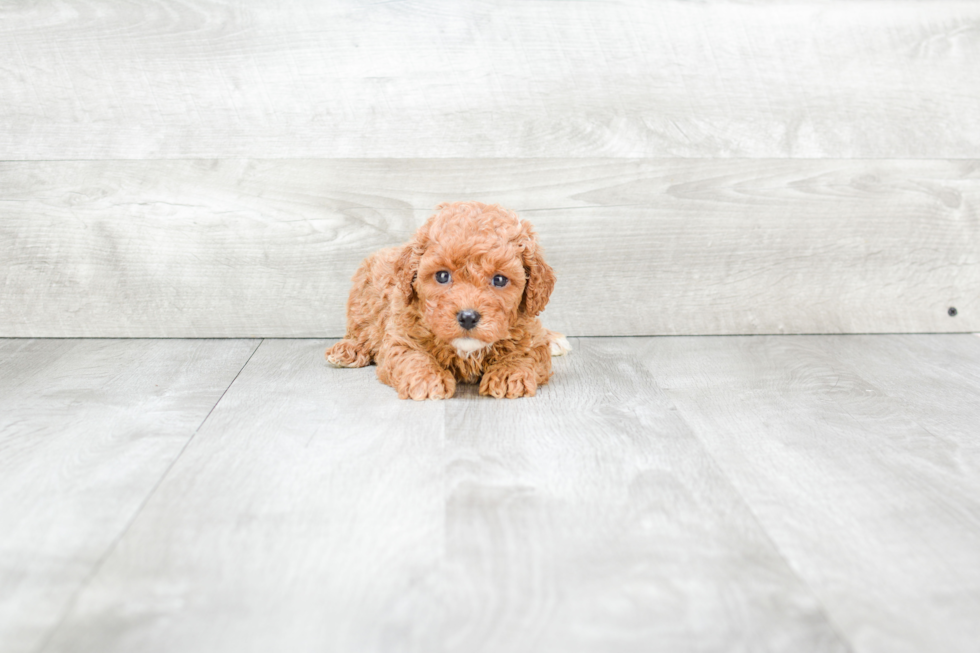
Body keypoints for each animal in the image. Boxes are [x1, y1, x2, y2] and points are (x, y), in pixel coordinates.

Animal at [326, 201, 572, 400]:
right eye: (442, 276)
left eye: (500, 279)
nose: (468, 317)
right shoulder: (400, 337)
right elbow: (412, 356)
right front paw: (426, 379)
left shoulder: (530, 336)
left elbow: (526, 353)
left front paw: (508, 374)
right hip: (362, 297)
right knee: (359, 331)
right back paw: (348, 350)